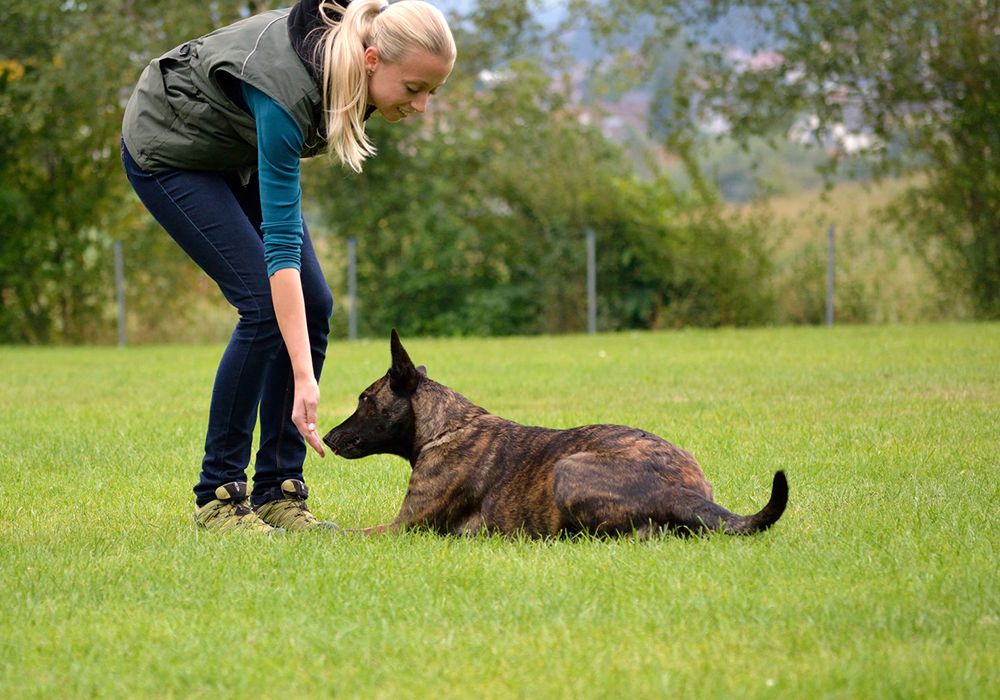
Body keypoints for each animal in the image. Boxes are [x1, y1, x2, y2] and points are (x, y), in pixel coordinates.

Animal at [322, 330, 788, 540]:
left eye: (364, 398)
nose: (327, 438)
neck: (446, 426)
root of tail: (679, 490)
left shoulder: (403, 527)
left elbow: (343, 533)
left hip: (567, 470)